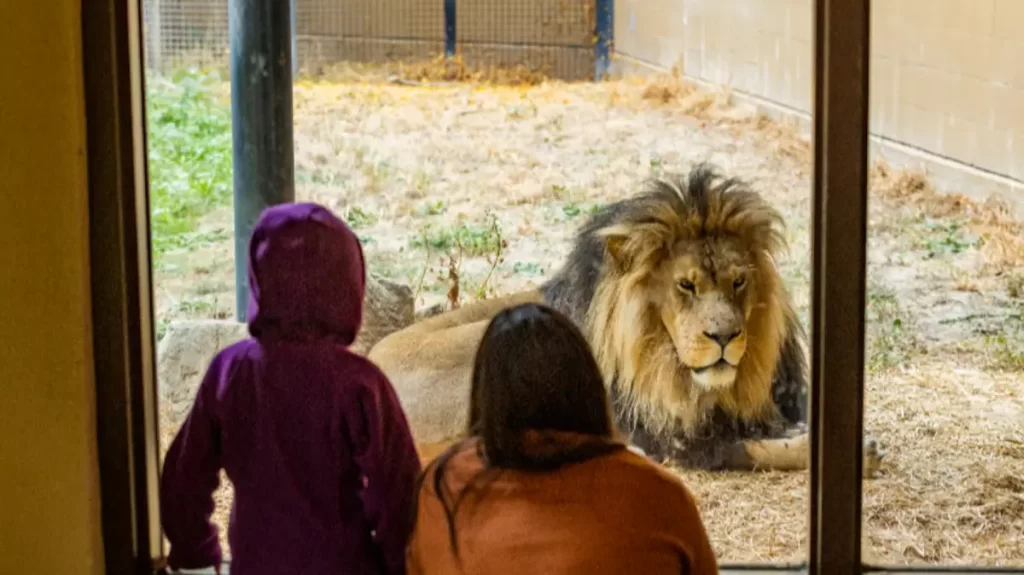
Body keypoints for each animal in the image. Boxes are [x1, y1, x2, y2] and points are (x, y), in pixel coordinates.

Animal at [369, 163, 885, 476]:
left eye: (739, 281)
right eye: (686, 285)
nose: (724, 336)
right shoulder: (677, 438)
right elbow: (750, 450)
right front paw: (855, 453)